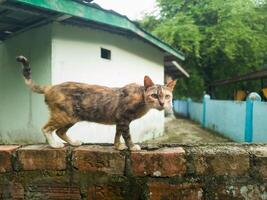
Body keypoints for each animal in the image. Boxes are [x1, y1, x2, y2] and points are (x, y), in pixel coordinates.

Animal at [15, 54, 177, 150]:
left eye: (167, 96)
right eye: (155, 95)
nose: (162, 103)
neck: (141, 97)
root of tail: (51, 86)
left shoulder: (119, 120)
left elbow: (117, 134)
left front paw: (118, 146)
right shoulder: (124, 119)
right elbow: (127, 135)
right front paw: (132, 147)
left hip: (72, 117)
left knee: (60, 131)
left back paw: (73, 142)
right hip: (63, 115)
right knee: (46, 128)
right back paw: (54, 144)